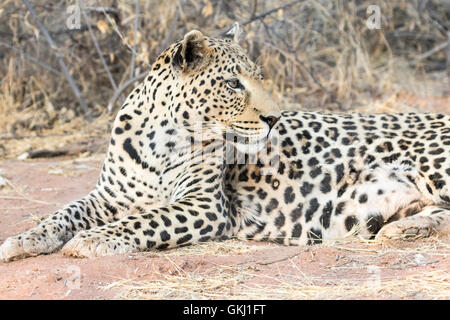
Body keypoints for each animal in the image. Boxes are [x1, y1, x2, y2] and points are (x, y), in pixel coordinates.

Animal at [0, 23, 448, 262]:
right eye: (233, 83)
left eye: (259, 77)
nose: (274, 118)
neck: (161, 138)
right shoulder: (108, 196)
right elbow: (63, 212)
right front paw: (24, 240)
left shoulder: (205, 204)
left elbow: (145, 219)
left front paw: (92, 240)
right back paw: (405, 229)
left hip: (434, 165)